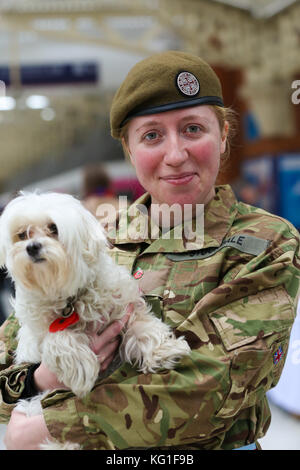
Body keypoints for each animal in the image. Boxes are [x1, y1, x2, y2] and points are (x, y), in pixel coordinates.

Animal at [0, 194, 190, 448]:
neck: (68, 297)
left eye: (53, 228)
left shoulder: (124, 307)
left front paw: (165, 350)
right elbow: (57, 339)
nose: (31, 247)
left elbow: (142, 326)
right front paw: (81, 368)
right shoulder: (38, 333)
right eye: (22, 234)